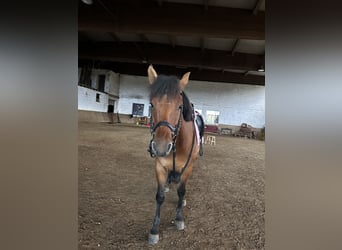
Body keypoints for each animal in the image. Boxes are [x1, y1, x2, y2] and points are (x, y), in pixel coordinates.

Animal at [146, 65, 203, 245]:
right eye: (151, 104)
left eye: (179, 107)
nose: (161, 147)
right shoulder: (159, 166)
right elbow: (159, 197)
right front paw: (154, 230)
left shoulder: (188, 167)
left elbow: (181, 191)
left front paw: (179, 218)